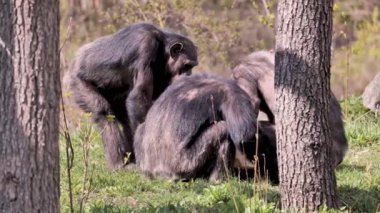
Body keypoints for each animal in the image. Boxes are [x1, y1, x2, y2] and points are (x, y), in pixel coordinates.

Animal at [66, 22, 199, 171]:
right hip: (78, 82)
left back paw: (130, 159)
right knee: (105, 115)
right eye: (186, 66)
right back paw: (118, 164)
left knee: (125, 117)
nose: (189, 74)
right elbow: (139, 96)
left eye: (192, 66)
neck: (162, 48)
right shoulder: (145, 48)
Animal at [131, 73, 262, 181]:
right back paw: (218, 180)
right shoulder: (233, 93)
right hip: (185, 165)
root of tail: (159, 174)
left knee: (140, 128)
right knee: (222, 130)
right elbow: (245, 135)